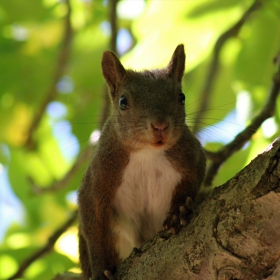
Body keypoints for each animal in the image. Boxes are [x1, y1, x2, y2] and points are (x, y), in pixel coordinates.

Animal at [77, 44, 207, 280]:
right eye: (123, 101)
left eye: (181, 96)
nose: (160, 125)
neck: (147, 154)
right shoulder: (99, 175)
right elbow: (92, 218)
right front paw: (100, 269)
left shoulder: (191, 156)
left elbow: (193, 179)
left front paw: (179, 211)